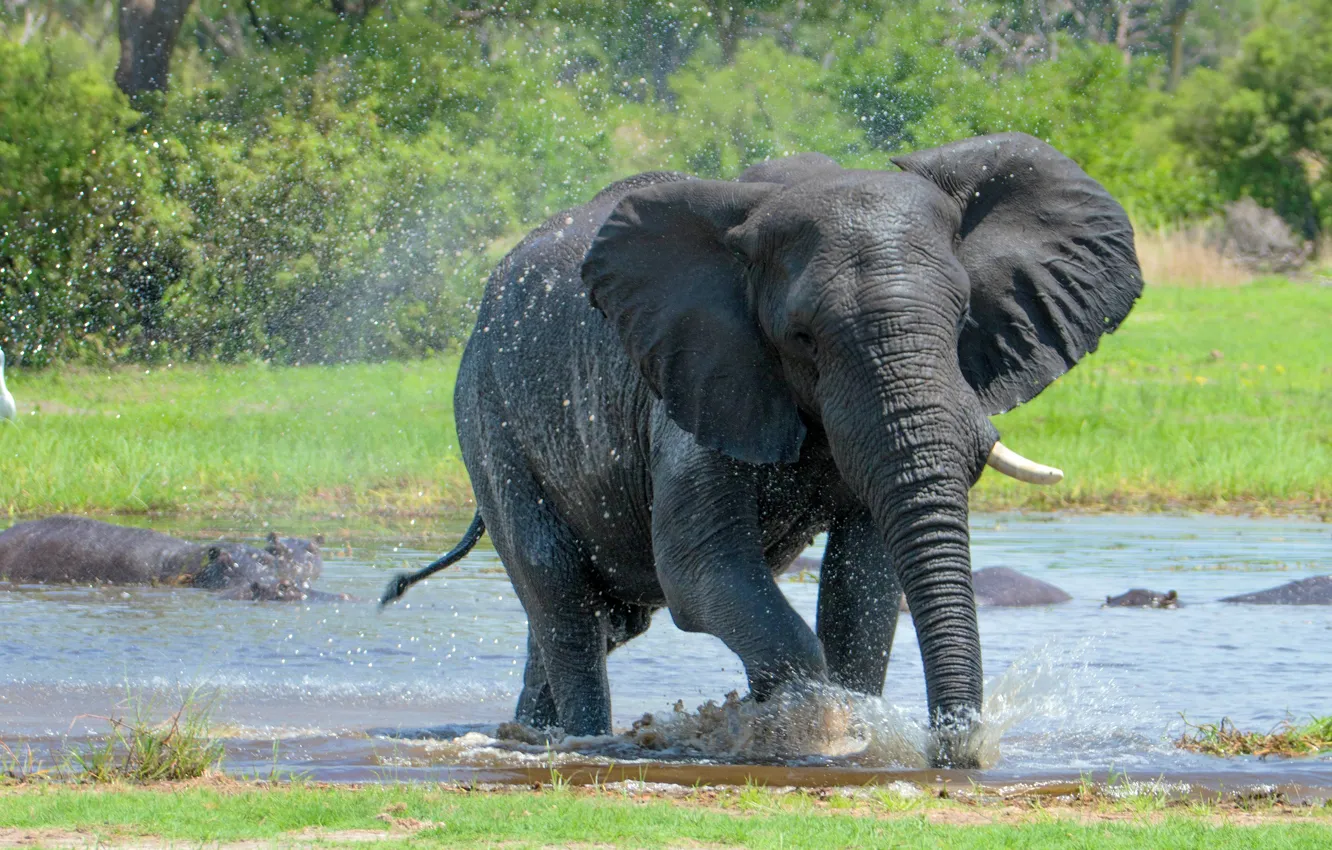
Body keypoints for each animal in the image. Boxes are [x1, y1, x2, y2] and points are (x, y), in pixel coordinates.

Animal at [387, 133, 1142, 767]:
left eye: (961, 317)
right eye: (802, 337)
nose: (961, 755)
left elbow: (862, 585)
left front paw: (848, 732)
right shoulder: (695, 372)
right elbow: (702, 568)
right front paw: (818, 733)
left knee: (593, 622)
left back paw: (529, 735)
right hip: (488, 421)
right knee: (563, 604)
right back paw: (582, 743)